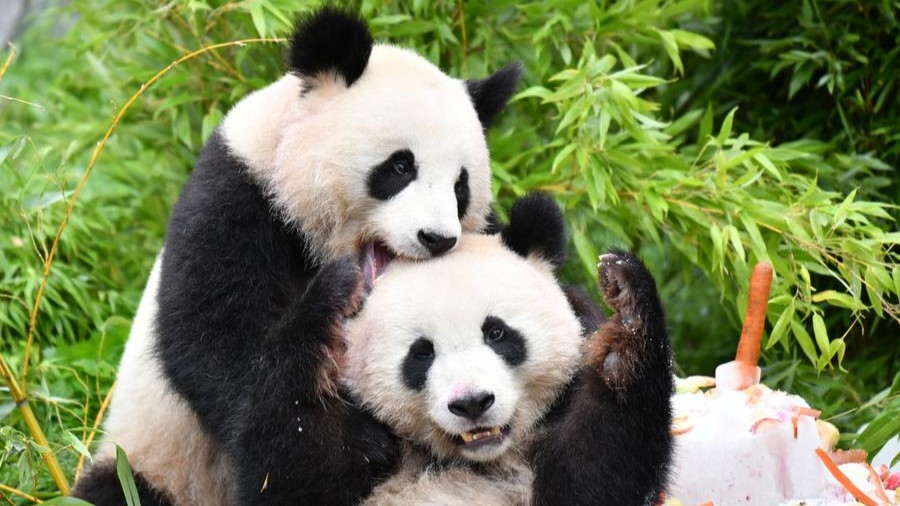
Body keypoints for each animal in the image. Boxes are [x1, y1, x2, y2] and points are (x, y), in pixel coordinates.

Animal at [73, 6, 521, 506]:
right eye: (401, 166)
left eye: (461, 186)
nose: (438, 238)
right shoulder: (234, 203)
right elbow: (217, 343)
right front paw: (358, 441)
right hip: (155, 461)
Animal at [342, 194, 675, 506]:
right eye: (421, 353)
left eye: (497, 333)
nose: (472, 403)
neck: (484, 458)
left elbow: (594, 480)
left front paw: (626, 329)